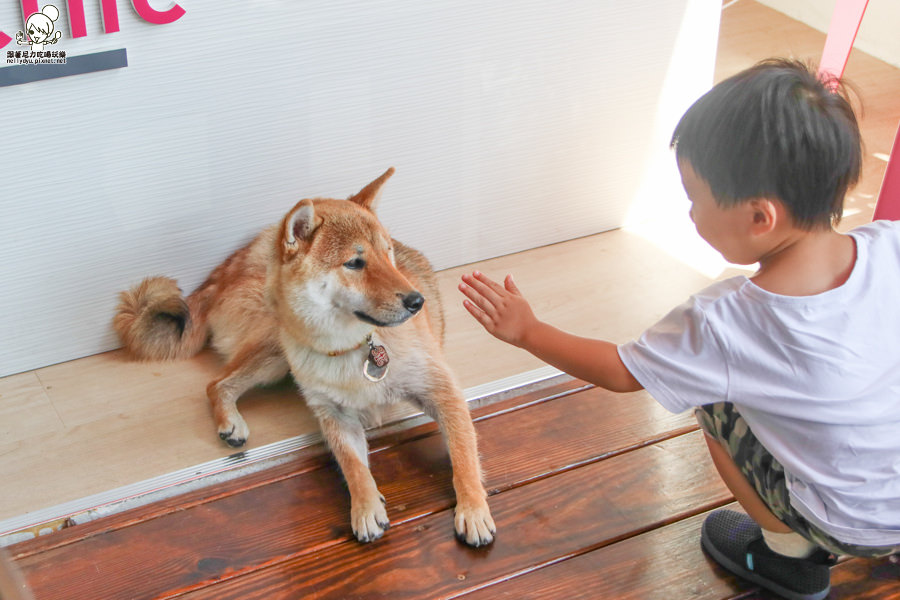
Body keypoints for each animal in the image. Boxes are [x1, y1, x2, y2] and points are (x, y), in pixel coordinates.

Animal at [113, 170, 496, 548]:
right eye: (354, 263)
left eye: (388, 254)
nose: (417, 302)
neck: (351, 349)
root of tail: (222, 274)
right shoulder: (333, 416)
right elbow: (354, 468)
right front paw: (365, 507)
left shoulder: (443, 392)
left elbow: (463, 456)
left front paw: (473, 509)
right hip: (274, 350)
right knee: (216, 384)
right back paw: (230, 422)